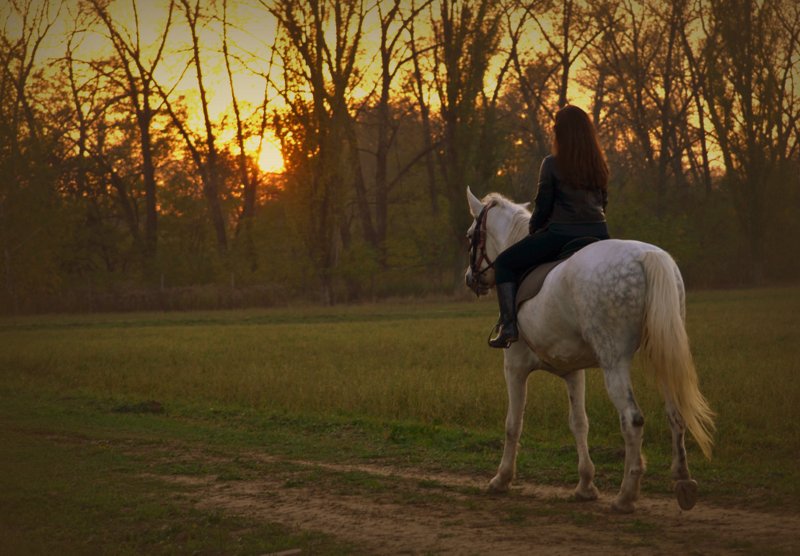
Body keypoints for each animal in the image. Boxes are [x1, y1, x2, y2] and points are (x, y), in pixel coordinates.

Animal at [466, 189, 716, 516]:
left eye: (470, 236)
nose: (470, 278)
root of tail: (646, 256)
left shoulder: (514, 367)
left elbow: (513, 423)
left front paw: (502, 479)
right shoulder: (574, 372)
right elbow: (579, 424)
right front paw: (585, 485)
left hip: (614, 363)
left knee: (632, 420)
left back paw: (626, 496)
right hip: (664, 354)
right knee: (675, 413)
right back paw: (683, 481)